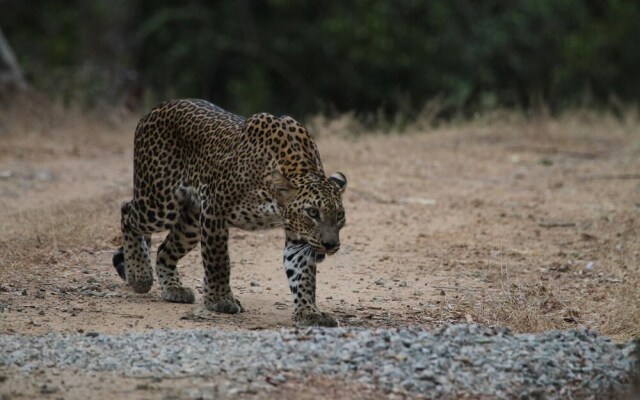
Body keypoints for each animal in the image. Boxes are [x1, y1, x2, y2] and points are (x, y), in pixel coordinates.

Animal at [112, 98, 348, 326]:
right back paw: (139, 275)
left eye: (339, 216)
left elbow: (302, 276)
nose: (331, 245)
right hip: (160, 202)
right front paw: (220, 300)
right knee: (127, 212)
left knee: (163, 250)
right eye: (312, 213)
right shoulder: (214, 207)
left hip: (191, 223)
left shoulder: (298, 238)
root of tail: (154, 109)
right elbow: (218, 261)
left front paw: (309, 312)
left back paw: (173, 288)